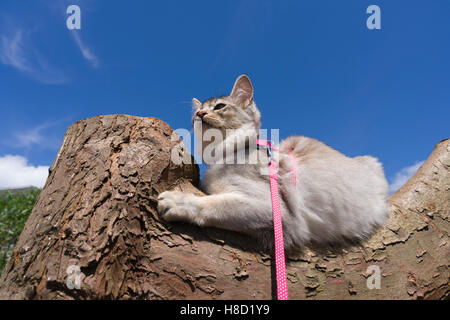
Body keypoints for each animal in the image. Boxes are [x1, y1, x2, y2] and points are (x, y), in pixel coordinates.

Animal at [156, 75, 388, 250]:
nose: (201, 113)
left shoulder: (276, 210)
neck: (227, 153)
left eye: (220, 106)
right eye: (196, 115)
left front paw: (177, 202)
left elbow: (214, 204)